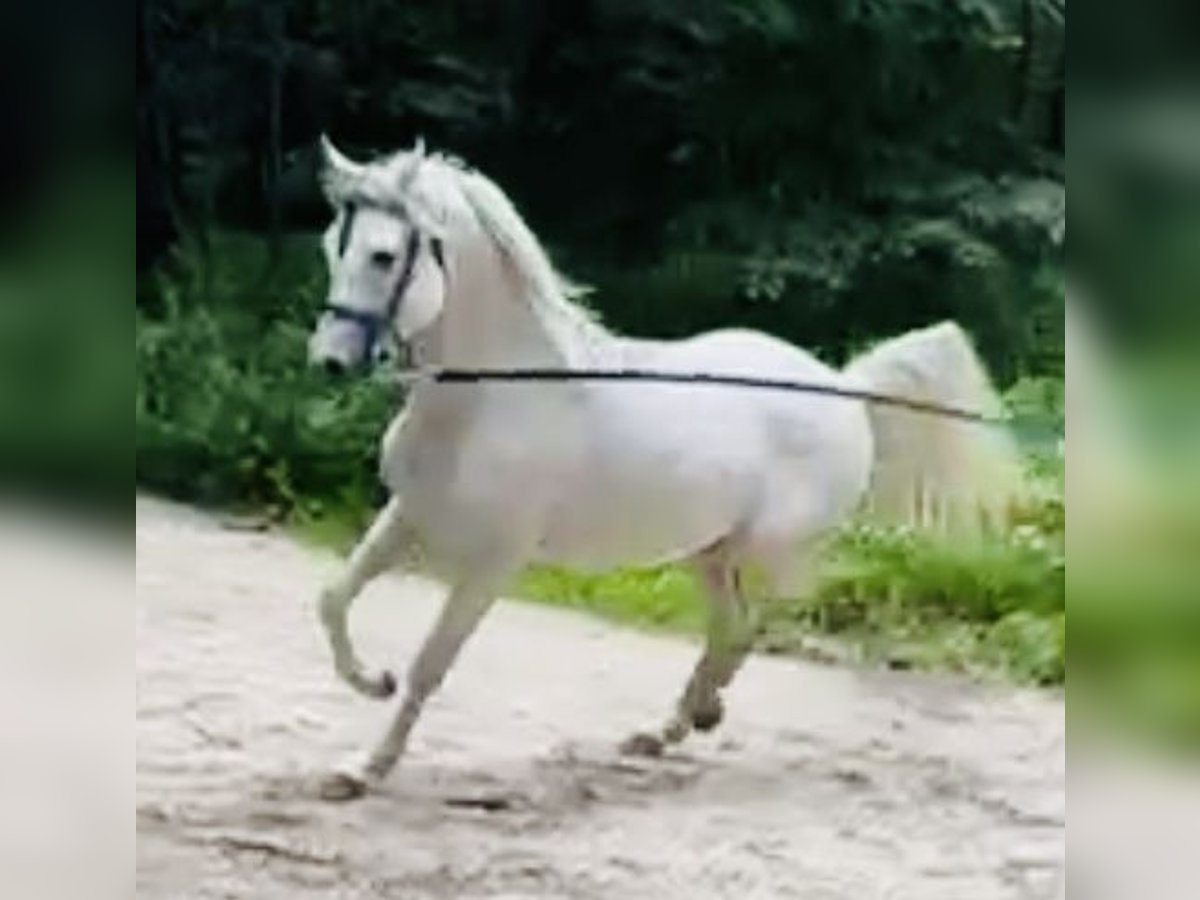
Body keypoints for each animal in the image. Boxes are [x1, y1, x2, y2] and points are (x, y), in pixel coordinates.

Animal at [304, 141, 1017, 801]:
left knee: (754, 625)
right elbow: (333, 599)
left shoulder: (493, 561)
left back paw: (697, 714)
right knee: (730, 627)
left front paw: (364, 768)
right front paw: (371, 682)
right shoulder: (408, 514)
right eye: (331, 248)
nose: (329, 362)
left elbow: (431, 664)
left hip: (768, 548)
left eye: (383, 256)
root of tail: (844, 386)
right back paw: (666, 729)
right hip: (708, 550)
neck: (491, 399)